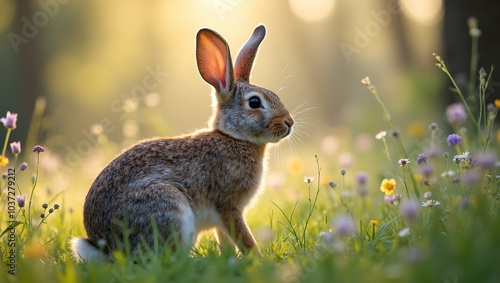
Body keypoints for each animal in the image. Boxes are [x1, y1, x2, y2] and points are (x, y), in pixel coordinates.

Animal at [72, 25, 294, 262]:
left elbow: (225, 240)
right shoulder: (228, 207)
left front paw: (231, 259)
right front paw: (260, 260)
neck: (234, 138)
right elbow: (244, 237)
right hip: (169, 207)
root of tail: (106, 247)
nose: (289, 122)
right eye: (254, 102)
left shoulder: (222, 217)